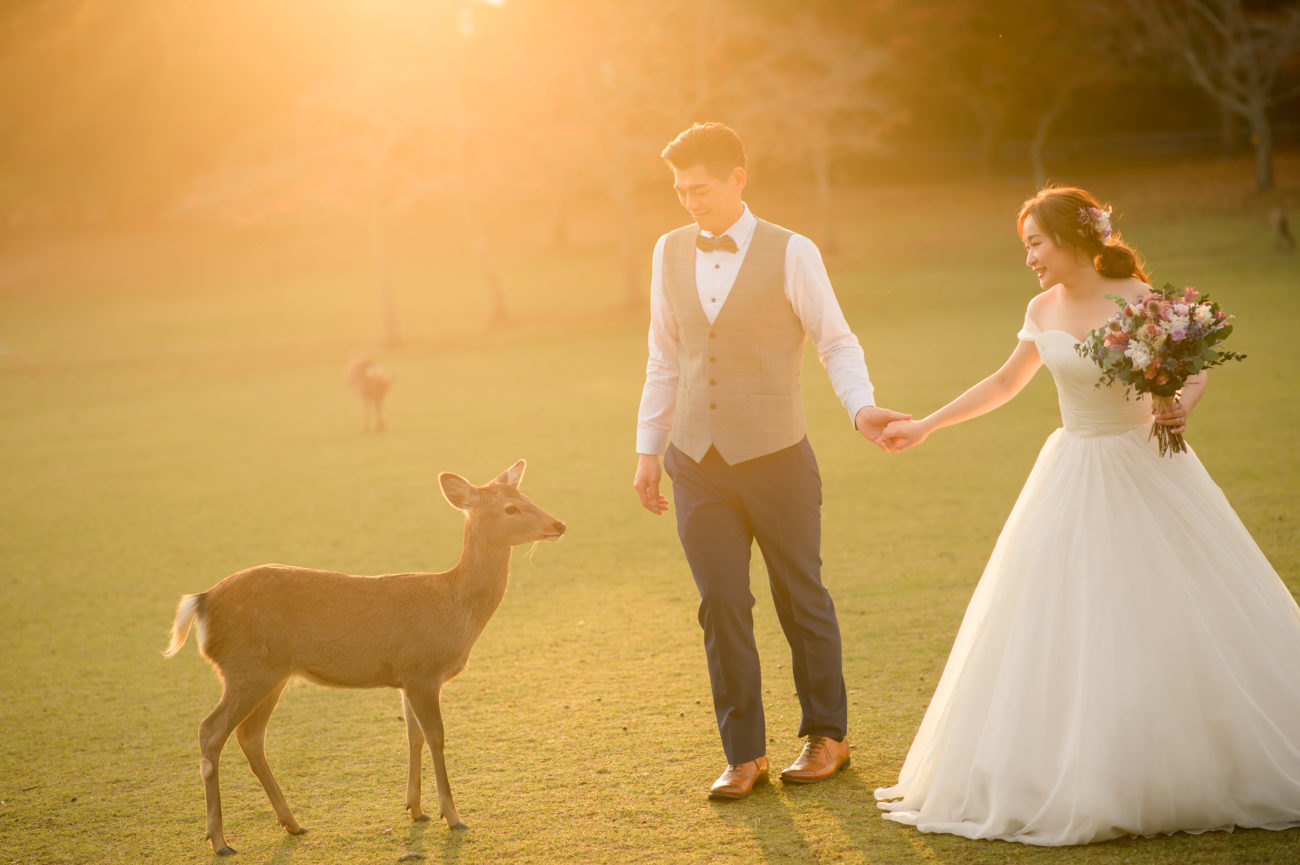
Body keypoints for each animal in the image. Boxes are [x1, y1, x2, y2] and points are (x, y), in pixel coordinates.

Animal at [163, 463, 564, 853]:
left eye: (527, 496)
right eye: (511, 508)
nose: (558, 525)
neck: (455, 606)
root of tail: (200, 603)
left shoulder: (406, 677)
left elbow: (413, 736)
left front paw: (415, 809)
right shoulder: (423, 671)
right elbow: (436, 736)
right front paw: (453, 816)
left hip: (271, 674)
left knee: (250, 736)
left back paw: (292, 823)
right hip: (245, 668)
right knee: (211, 731)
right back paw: (219, 841)